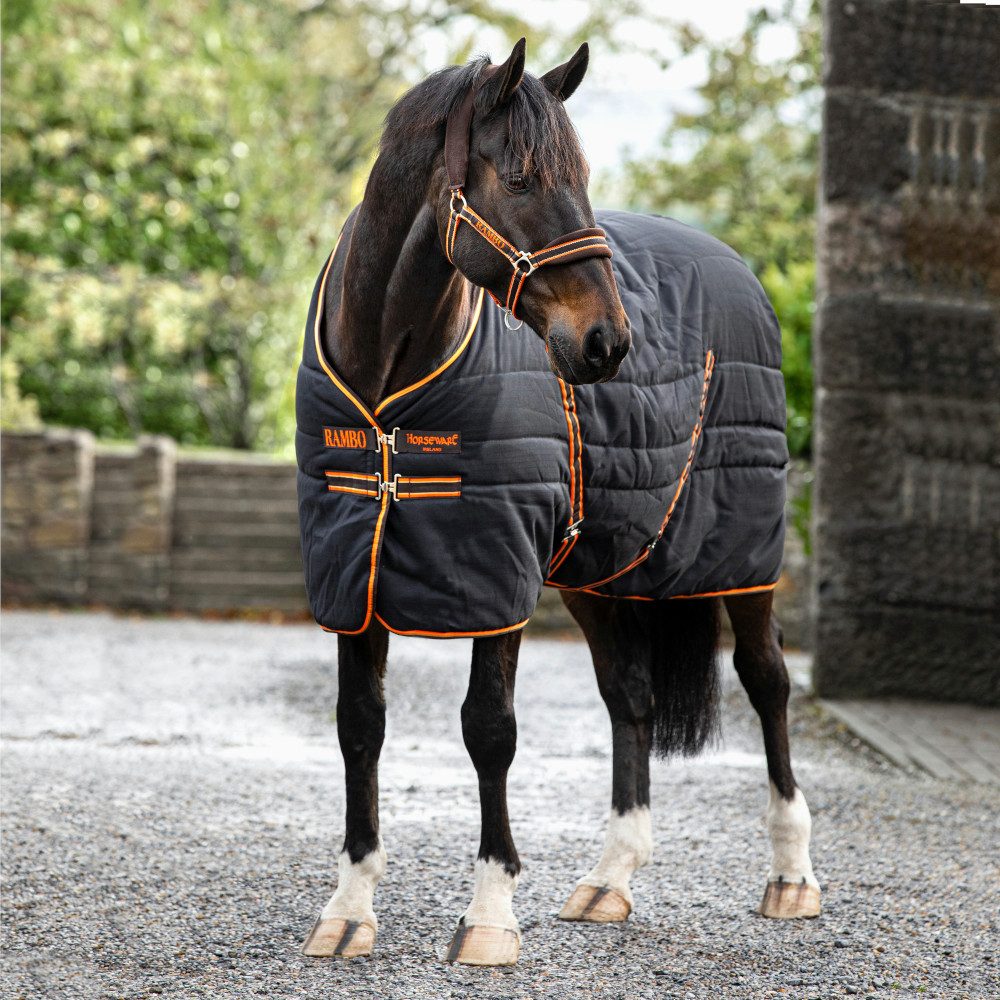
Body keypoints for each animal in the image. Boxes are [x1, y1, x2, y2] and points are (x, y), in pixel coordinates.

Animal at [295, 38, 821, 967]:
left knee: (768, 684)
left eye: (580, 177)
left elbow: (489, 731)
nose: (608, 342)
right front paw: (349, 910)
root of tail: (733, 264)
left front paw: (490, 916)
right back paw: (610, 879)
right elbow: (359, 725)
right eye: (520, 178)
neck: (388, 388)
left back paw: (792, 876)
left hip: (742, 554)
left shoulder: (495, 571)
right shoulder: (355, 570)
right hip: (601, 566)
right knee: (631, 698)